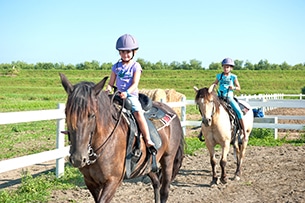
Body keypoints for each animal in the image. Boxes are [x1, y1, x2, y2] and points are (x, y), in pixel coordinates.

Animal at [58, 73, 183, 203]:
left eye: (91, 114)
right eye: (67, 113)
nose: (78, 158)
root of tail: (171, 112)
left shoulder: (113, 181)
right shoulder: (90, 182)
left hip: (168, 159)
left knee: (164, 190)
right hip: (147, 166)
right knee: (156, 183)